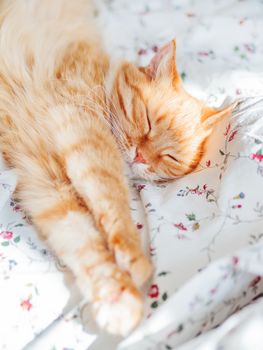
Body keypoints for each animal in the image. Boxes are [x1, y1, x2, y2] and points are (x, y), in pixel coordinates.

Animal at [0, 0, 235, 334]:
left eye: (170, 157)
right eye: (147, 120)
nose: (141, 157)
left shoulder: (45, 182)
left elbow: (84, 243)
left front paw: (116, 298)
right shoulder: (84, 135)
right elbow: (114, 202)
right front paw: (134, 256)